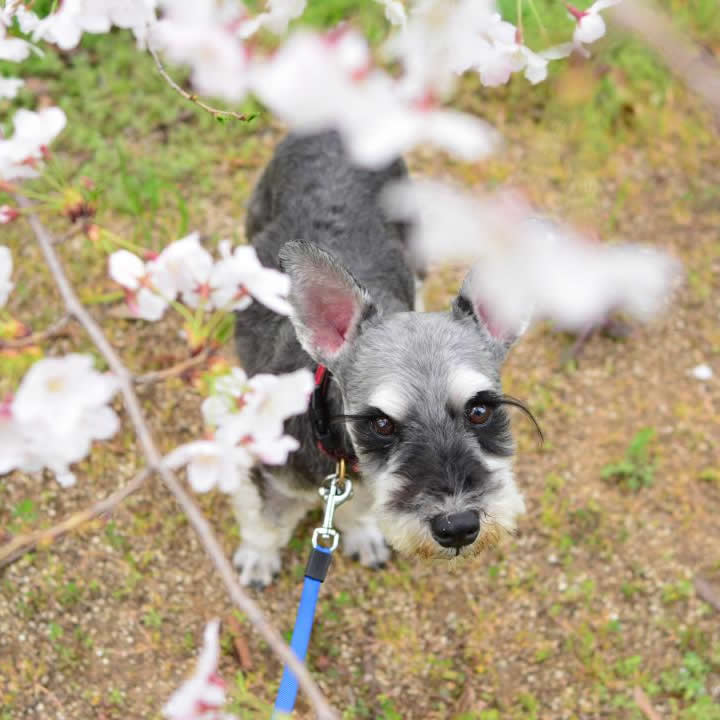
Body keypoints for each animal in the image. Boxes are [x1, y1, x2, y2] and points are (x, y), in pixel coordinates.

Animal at [232, 132, 536, 588]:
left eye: (480, 411)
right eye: (380, 423)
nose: (458, 526)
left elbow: (360, 508)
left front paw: (363, 534)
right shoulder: (272, 474)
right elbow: (266, 522)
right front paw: (257, 559)